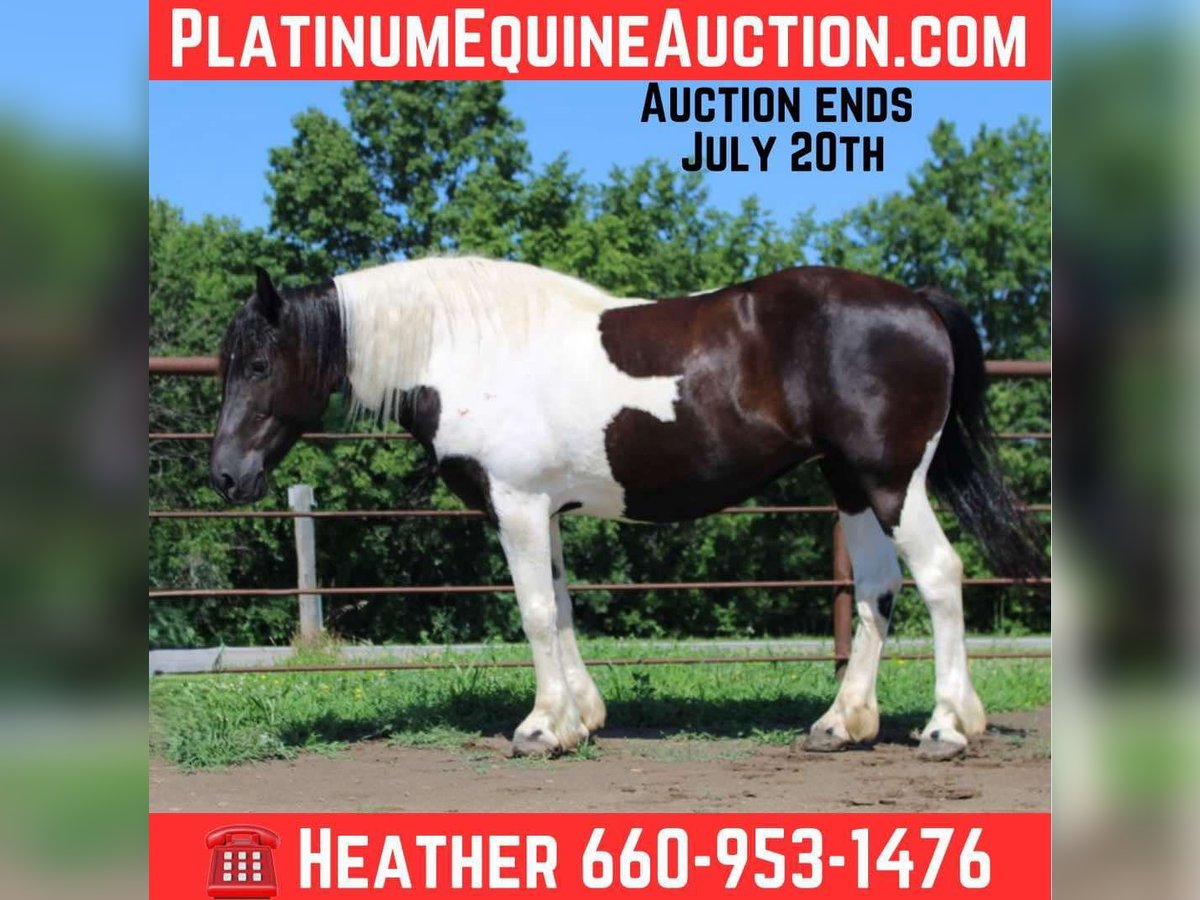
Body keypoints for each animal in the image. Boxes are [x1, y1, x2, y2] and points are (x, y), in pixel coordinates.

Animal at [210, 257, 1046, 761]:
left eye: (258, 364)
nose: (225, 476)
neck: (465, 350)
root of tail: (917, 302)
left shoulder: (517, 505)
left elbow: (534, 613)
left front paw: (540, 728)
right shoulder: (543, 511)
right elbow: (562, 608)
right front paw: (580, 718)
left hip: (891, 481)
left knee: (939, 576)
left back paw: (945, 727)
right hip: (850, 484)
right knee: (877, 591)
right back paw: (841, 724)